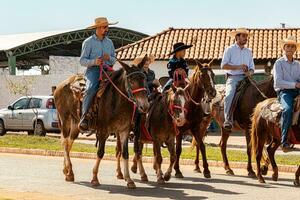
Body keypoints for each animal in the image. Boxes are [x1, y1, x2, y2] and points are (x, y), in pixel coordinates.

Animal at [54, 58, 150, 189]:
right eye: (131, 80)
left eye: (143, 78)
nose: (144, 106)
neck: (117, 100)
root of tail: (59, 86)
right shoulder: (103, 130)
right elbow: (100, 152)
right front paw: (95, 178)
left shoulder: (124, 130)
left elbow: (125, 153)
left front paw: (129, 179)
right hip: (65, 119)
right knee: (64, 142)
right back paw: (69, 171)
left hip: (75, 124)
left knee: (69, 142)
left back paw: (68, 171)